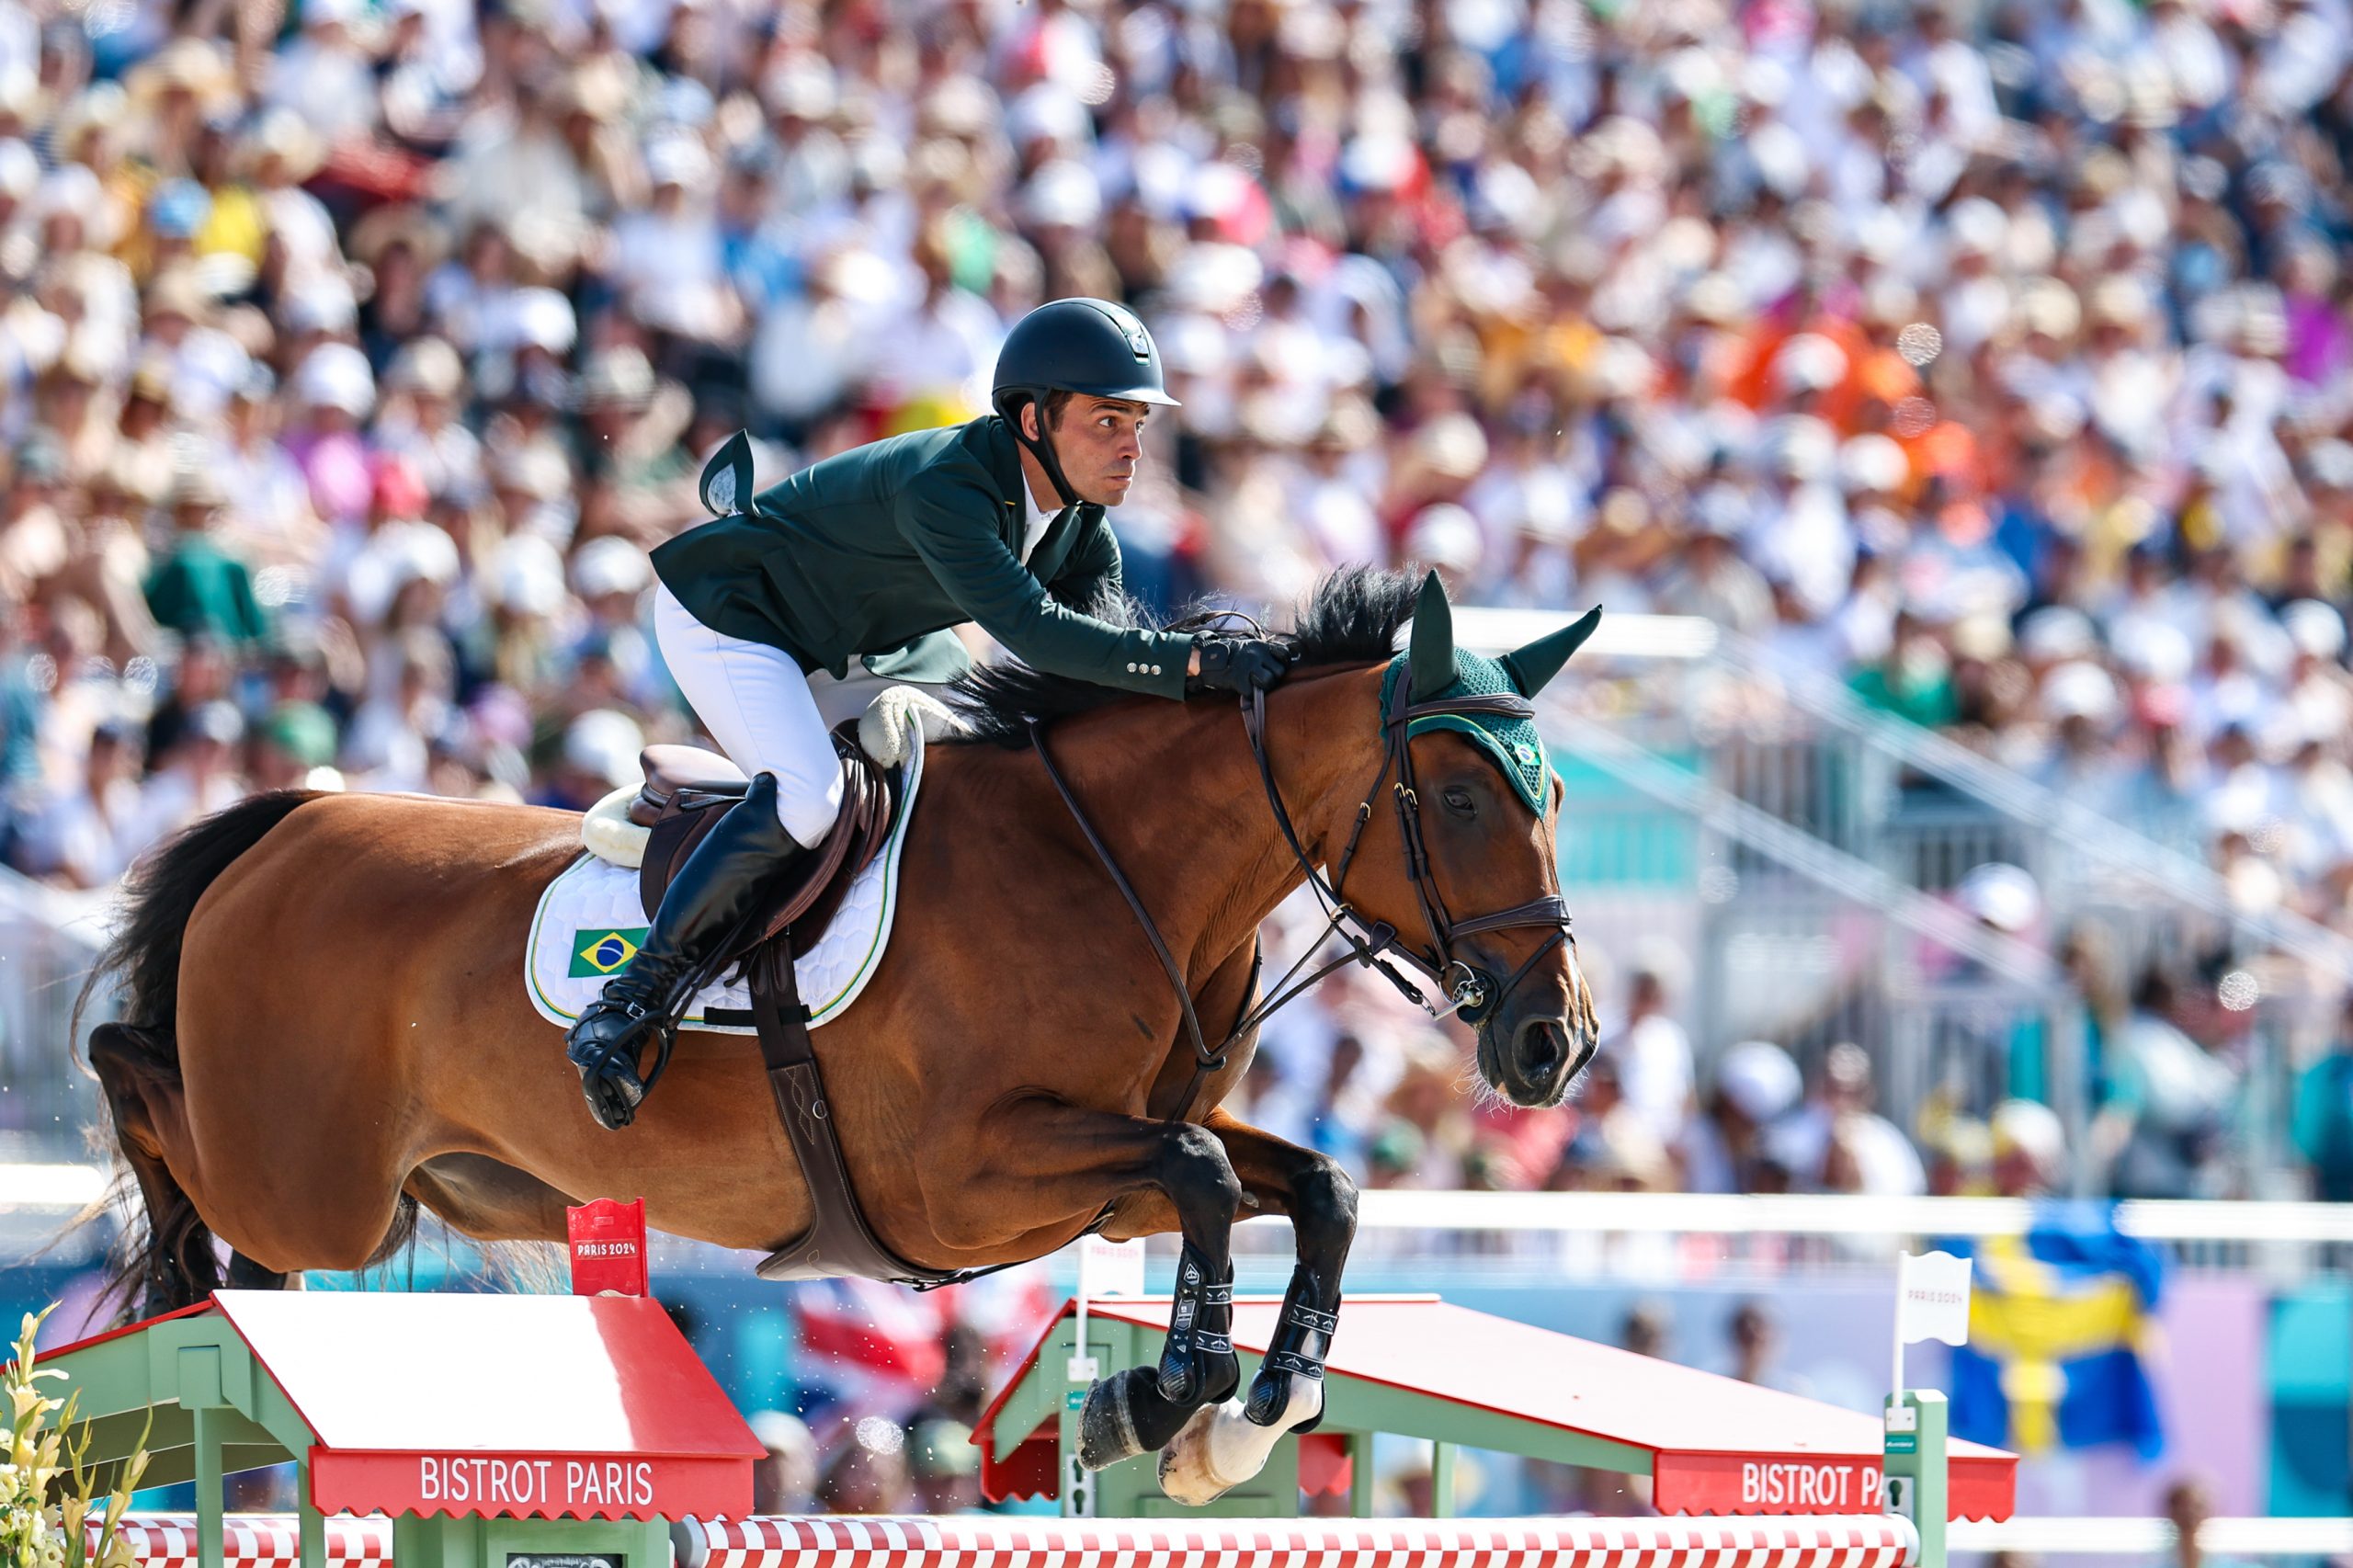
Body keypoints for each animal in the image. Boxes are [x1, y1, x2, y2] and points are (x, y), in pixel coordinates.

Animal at [83, 564, 1609, 1506]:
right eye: (1461, 798)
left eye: (1554, 798)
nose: (1558, 1044)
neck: (1113, 864)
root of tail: (291, 821)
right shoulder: (965, 1177)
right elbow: (1208, 1173)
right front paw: (1169, 1391)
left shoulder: (1093, 1173)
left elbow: (1310, 1185)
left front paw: (1246, 1413)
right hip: (310, 1177)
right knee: (133, 1081)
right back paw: (177, 1282)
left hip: (416, 1191)